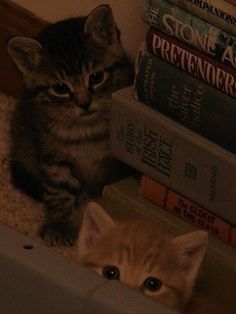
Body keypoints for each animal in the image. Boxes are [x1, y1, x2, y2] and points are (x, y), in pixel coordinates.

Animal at [7, 4, 134, 245]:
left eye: (96, 76)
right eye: (60, 88)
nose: (84, 103)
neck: (86, 131)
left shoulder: (116, 163)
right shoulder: (53, 159)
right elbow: (59, 193)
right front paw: (60, 225)